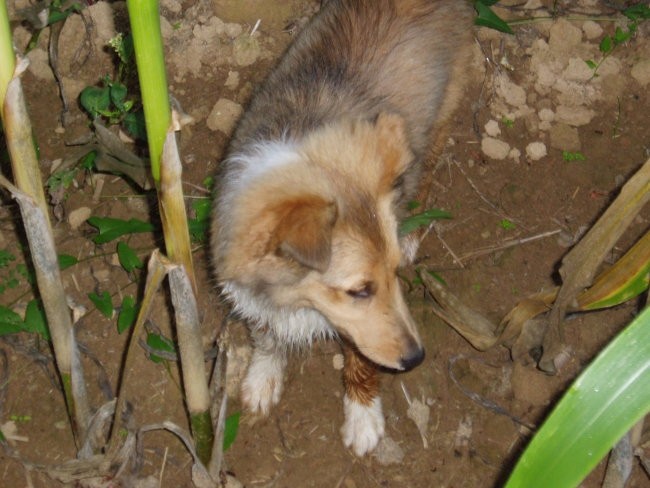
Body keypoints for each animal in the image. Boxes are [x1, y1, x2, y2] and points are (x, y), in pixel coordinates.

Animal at [213, 0, 470, 458]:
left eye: (393, 275)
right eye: (359, 290)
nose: (416, 358)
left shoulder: (361, 332)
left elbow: (362, 362)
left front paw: (363, 416)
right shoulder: (253, 294)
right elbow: (267, 337)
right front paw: (263, 378)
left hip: (442, 113)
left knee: (427, 169)